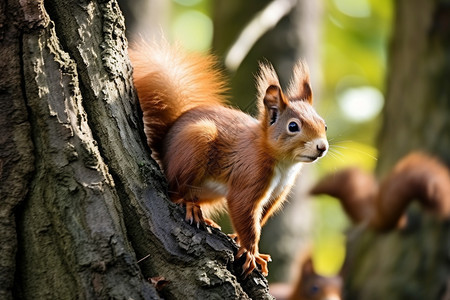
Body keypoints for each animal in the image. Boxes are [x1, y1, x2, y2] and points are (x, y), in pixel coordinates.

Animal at [128, 41, 328, 276]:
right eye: (293, 126)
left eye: (324, 125)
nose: (322, 147)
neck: (283, 164)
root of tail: (165, 144)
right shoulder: (249, 176)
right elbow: (245, 214)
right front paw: (251, 253)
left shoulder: (277, 193)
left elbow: (260, 219)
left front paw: (244, 244)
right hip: (196, 145)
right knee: (174, 192)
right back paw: (190, 206)